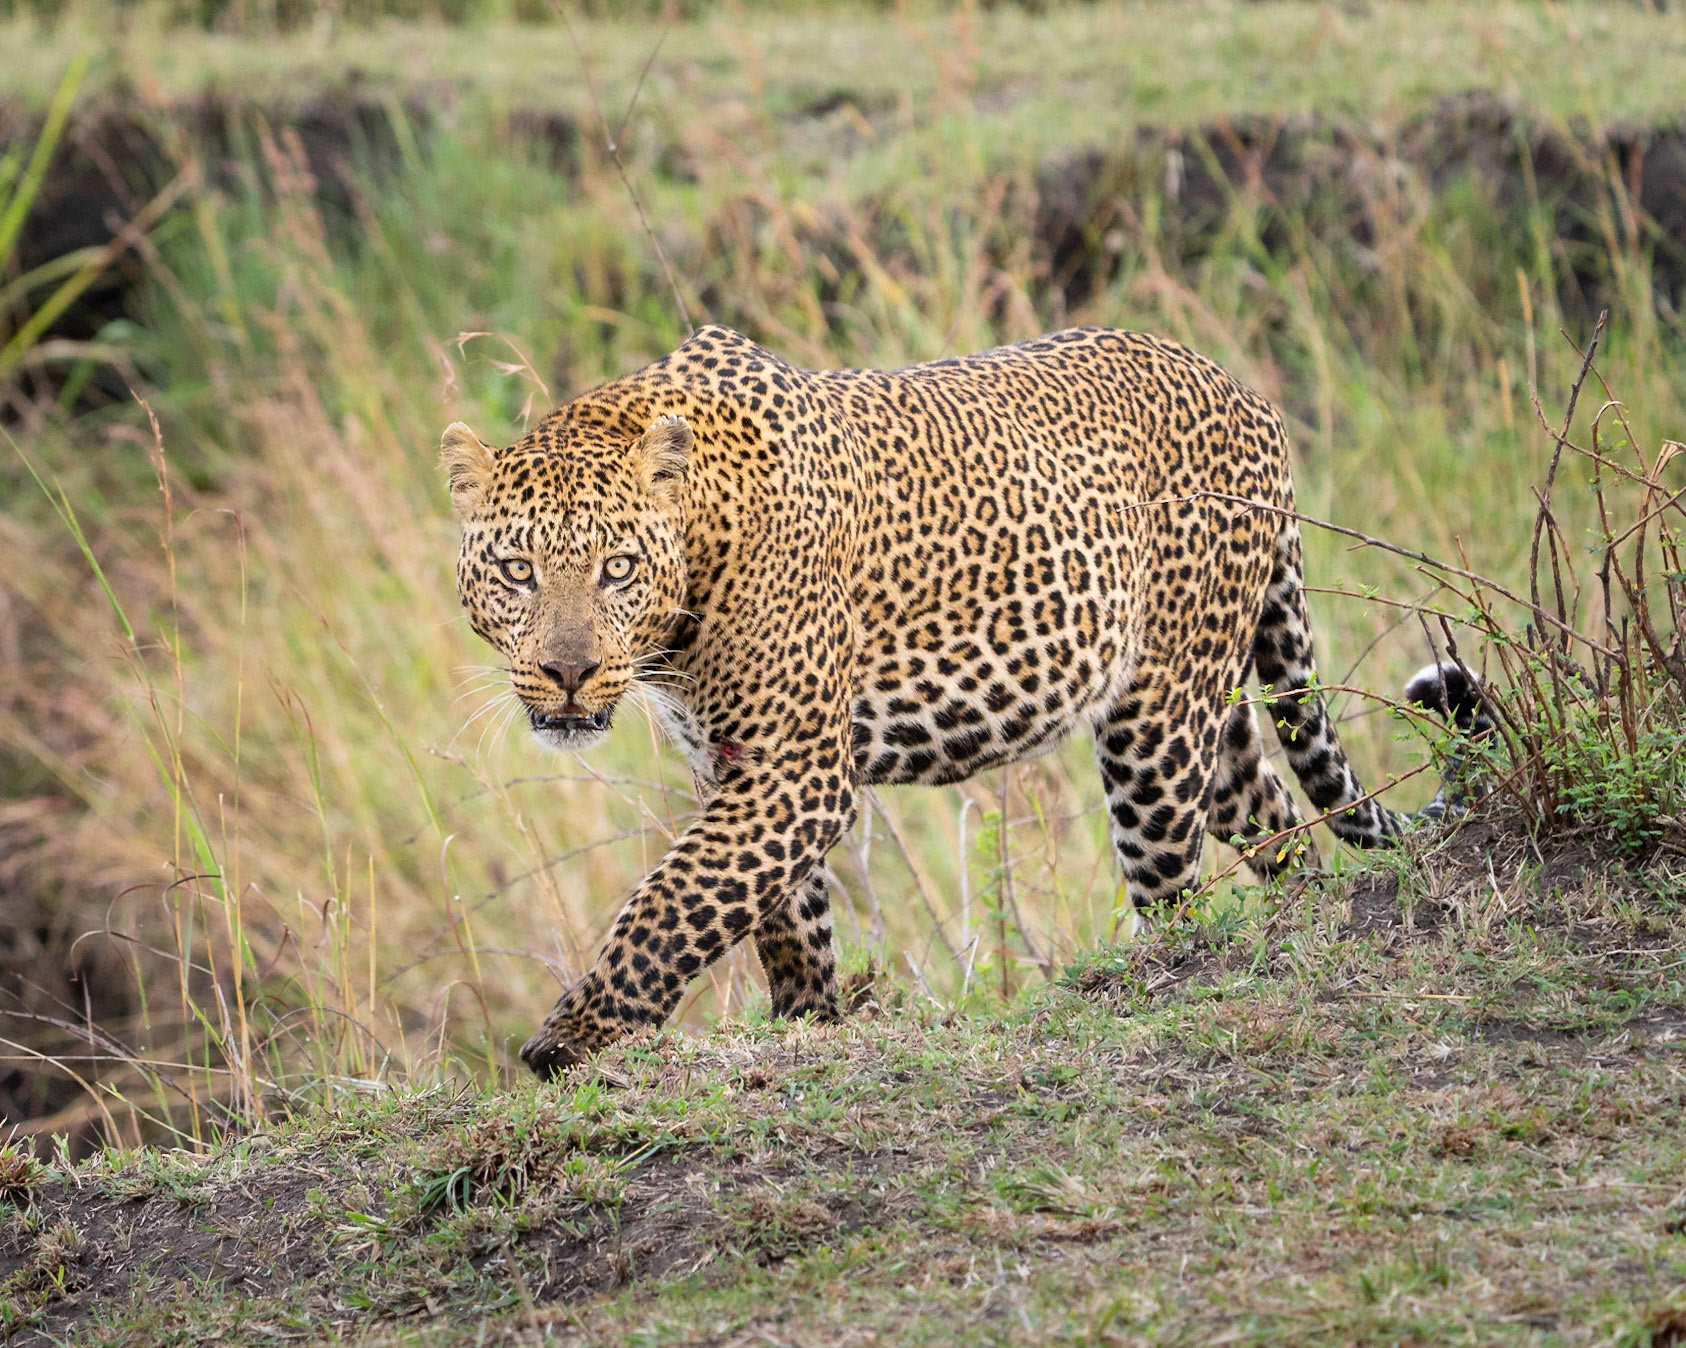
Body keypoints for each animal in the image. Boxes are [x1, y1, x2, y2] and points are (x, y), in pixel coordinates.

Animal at [441, 324, 1482, 1077]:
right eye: (517, 570)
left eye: (616, 569)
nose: (569, 673)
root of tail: (1244, 390)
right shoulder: (739, 770)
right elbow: (776, 917)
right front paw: (811, 1029)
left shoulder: (797, 771)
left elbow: (672, 903)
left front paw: (570, 1041)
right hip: (1209, 720)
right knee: (1278, 824)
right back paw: (1295, 928)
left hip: (1154, 727)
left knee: (1175, 889)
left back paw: (1166, 983)